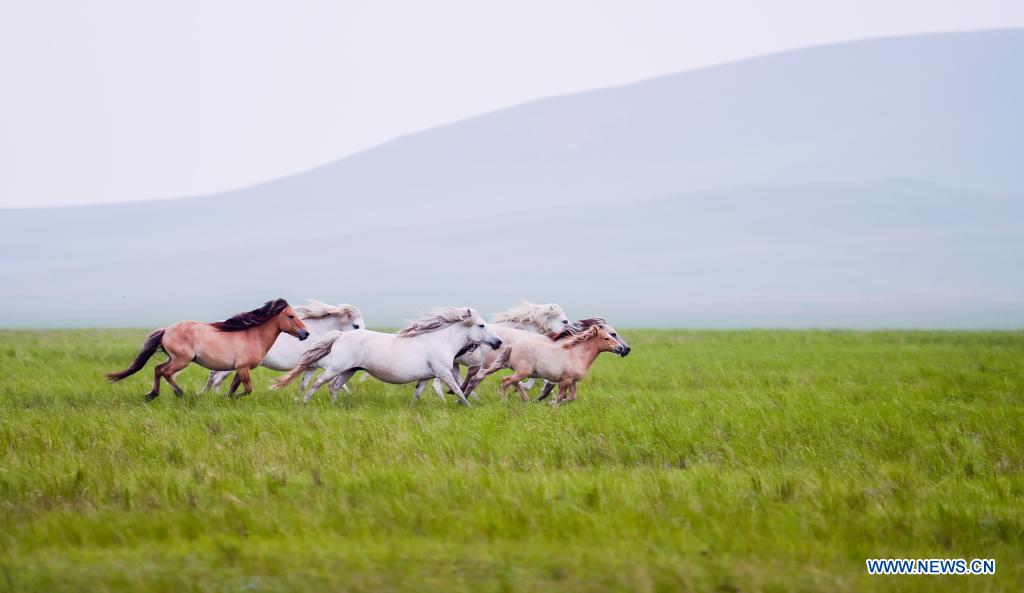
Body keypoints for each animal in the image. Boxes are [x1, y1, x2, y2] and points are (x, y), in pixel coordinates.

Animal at [107, 299, 311, 401]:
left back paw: (152, 395)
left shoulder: (240, 369)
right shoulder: (243, 368)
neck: (252, 336)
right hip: (182, 360)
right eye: (291, 316)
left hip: (174, 358)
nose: (306, 333)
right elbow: (248, 389)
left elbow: (236, 387)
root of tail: (167, 330)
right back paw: (179, 393)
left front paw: (228, 398)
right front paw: (227, 398)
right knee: (165, 372)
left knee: (158, 369)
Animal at [201, 301, 366, 395]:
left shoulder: (310, 366)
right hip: (232, 367)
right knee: (217, 380)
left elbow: (304, 384)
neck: (321, 332)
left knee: (213, 377)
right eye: (356, 325)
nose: (363, 340)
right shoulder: (323, 363)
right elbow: (338, 382)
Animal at [274, 307, 501, 407]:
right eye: (481, 325)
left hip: (349, 371)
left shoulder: (426, 377)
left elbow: (417, 393)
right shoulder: (443, 373)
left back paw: (335, 405)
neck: (440, 340)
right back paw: (305, 402)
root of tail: (341, 334)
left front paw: (412, 410)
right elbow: (459, 390)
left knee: (333, 386)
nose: (498, 342)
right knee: (319, 382)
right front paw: (468, 408)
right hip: (337, 368)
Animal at [460, 315, 626, 399]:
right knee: (475, 379)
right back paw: (463, 399)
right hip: (489, 364)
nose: (625, 349)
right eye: (612, 334)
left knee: (472, 372)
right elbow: (548, 389)